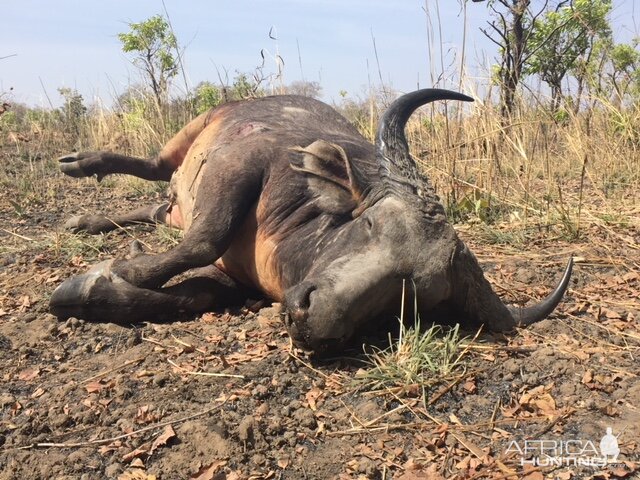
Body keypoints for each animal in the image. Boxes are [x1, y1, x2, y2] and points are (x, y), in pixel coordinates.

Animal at [48, 90, 568, 350]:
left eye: (413, 293)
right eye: (370, 225)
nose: (310, 315)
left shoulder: (232, 278)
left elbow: (195, 293)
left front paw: (95, 290)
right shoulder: (241, 162)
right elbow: (206, 238)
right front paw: (122, 269)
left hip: (173, 205)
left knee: (157, 209)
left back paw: (87, 221)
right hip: (193, 130)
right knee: (156, 168)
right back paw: (81, 163)